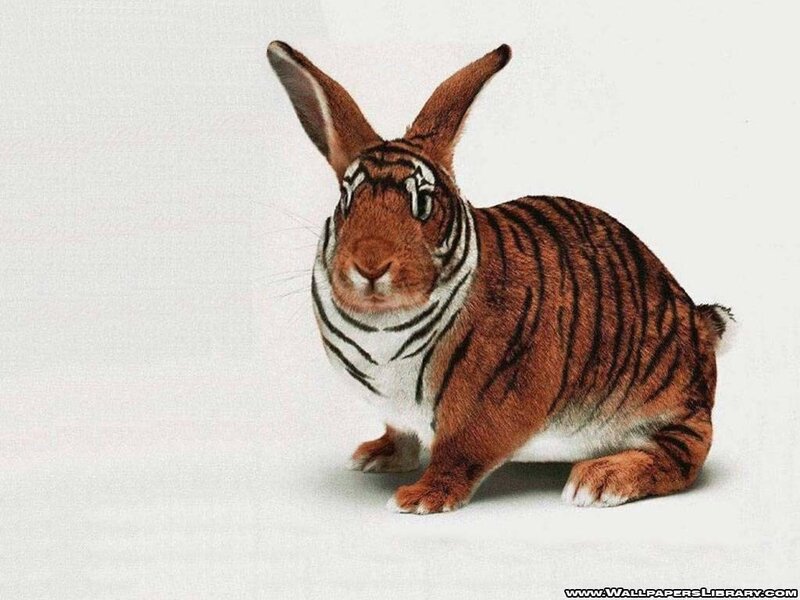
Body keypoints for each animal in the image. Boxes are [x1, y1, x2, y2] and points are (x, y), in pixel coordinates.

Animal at [267, 40, 734, 514]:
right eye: (346, 200)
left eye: (424, 203)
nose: (370, 264)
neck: (382, 327)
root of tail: (700, 326)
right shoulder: (397, 413)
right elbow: (400, 433)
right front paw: (375, 457)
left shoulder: (490, 404)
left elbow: (459, 453)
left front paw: (420, 498)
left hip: (666, 401)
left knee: (686, 454)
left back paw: (598, 481)